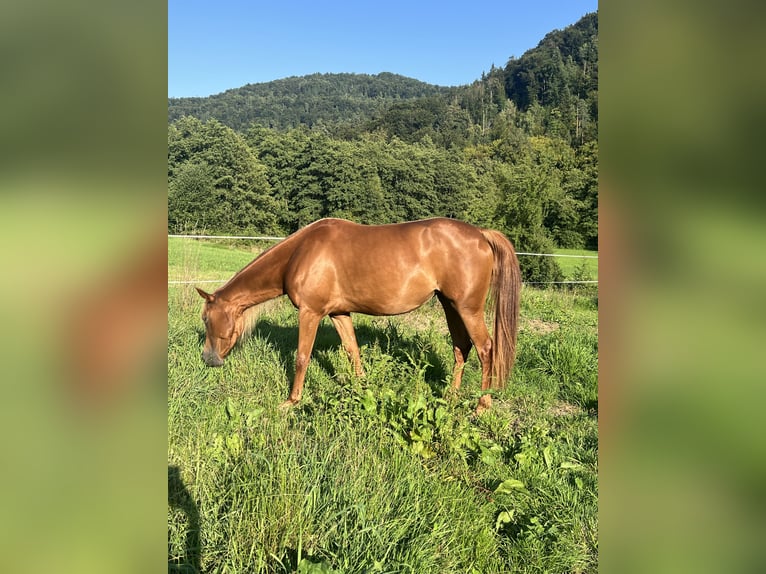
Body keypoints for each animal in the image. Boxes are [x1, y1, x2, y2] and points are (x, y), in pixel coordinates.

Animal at [196, 218, 521, 412]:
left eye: (206, 318)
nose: (209, 359)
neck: (300, 253)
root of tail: (480, 235)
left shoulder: (311, 313)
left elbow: (302, 357)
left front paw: (291, 401)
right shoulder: (339, 313)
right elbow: (353, 352)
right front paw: (363, 390)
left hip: (467, 309)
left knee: (485, 349)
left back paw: (482, 405)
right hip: (450, 305)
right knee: (460, 348)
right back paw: (451, 397)